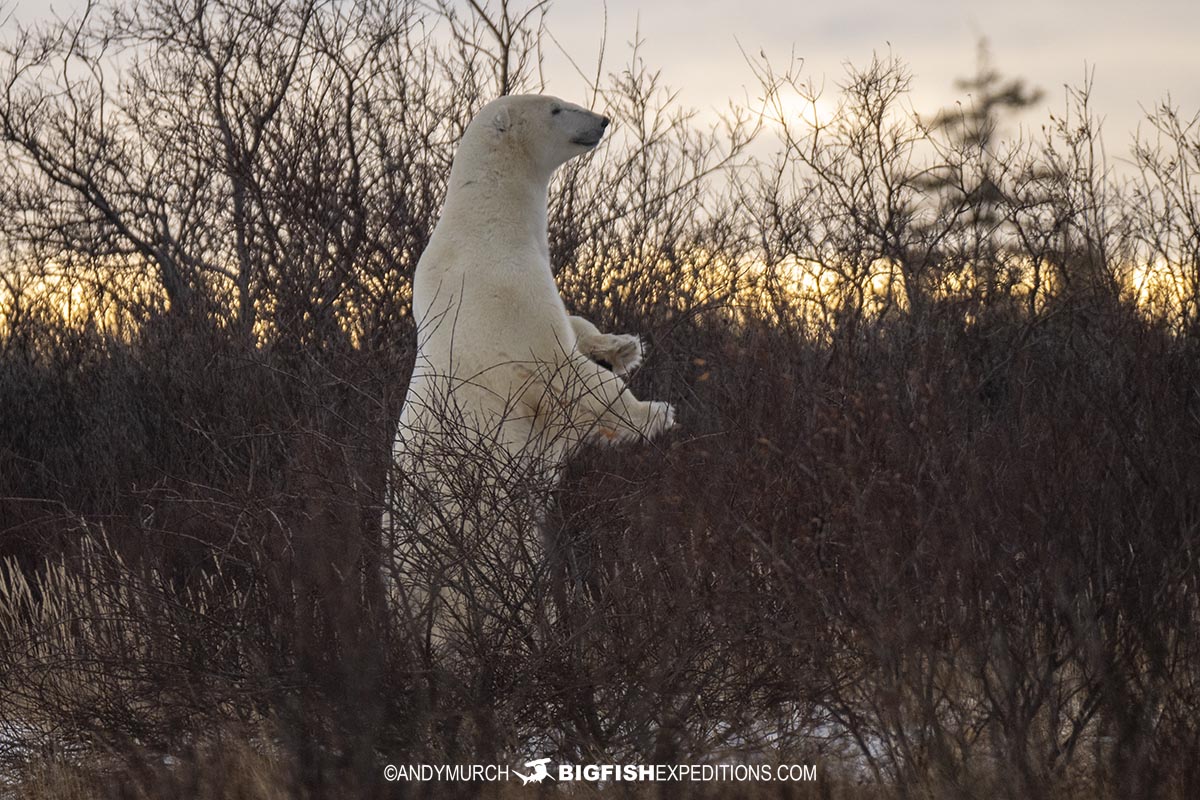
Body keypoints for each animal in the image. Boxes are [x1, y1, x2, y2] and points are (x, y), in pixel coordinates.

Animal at [391, 95, 676, 642]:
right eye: (557, 108)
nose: (602, 120)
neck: (482, 224)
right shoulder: (504, 293)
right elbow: (564, 371)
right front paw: (655, 414)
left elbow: (573, 325)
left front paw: (623, 346)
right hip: (471, 546)